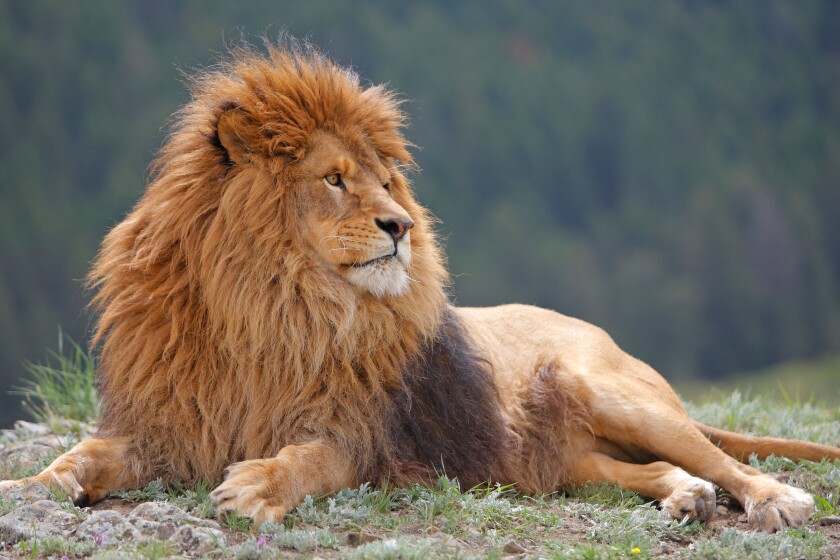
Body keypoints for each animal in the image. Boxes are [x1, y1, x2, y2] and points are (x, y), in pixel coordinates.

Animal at [2, 42, 838, 533]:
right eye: (334, 179)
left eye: (384, 179)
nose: (402, 224)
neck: (270, 304)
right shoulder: (168, 423)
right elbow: (78, 458)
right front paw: (27, 489)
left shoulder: (363, 434)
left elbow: (309, 461)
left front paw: (256, 488)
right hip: (560, 460)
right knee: (660, 468)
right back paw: (683, 496)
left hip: (613, 393)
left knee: (720, 459)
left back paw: (778, 500)